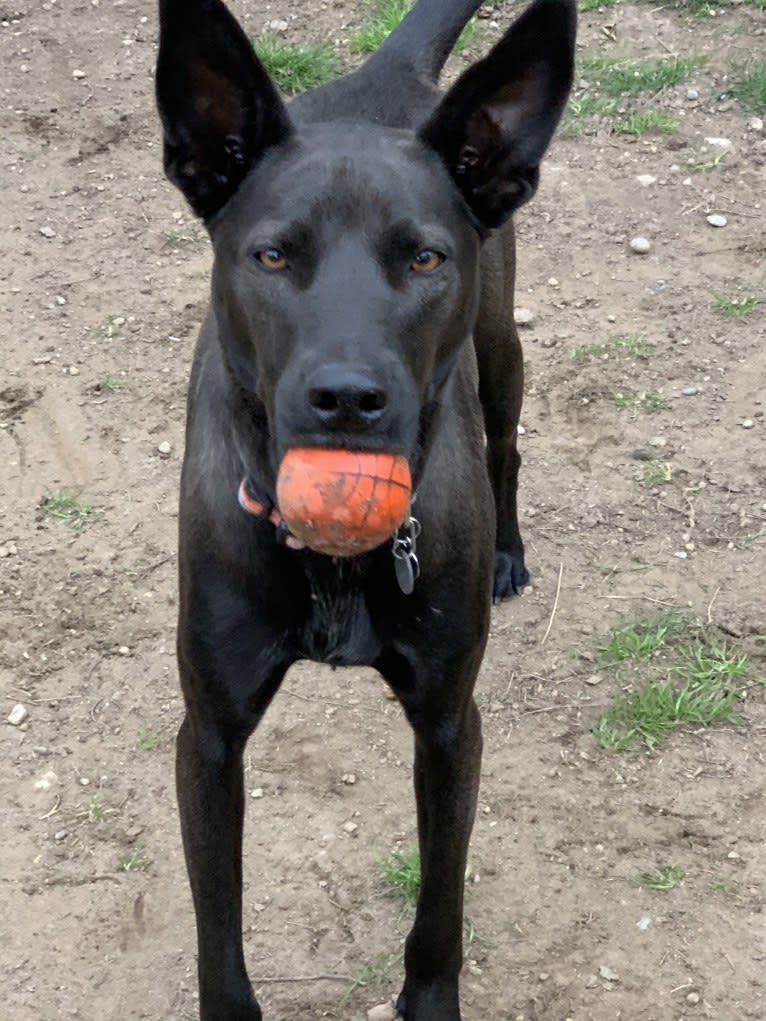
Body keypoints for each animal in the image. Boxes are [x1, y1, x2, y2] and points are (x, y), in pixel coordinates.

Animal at [156, 0, 576, 1016]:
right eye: (272, 254)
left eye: (424, 256)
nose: (347, 399)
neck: (331, 562)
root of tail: (386, 73)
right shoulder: (209, 739)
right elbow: (218, 932)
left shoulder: (451, 726)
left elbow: (440, 910)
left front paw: (428, 1002)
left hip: (500, 349)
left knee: (508, 443)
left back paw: (508, 552)